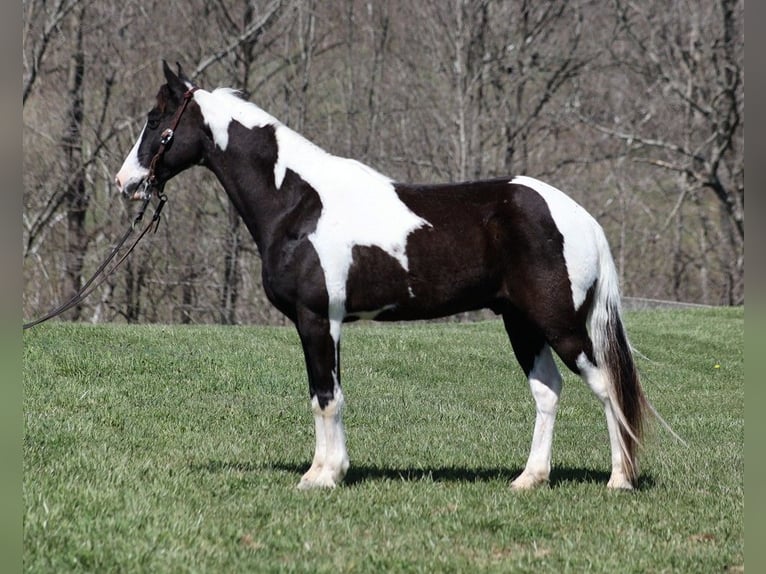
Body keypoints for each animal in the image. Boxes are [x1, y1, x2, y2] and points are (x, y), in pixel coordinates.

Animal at [115, 61, 650, 491]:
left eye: (155, 121)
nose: (125, 183)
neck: (298, 202)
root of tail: (579, 216)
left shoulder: (317, 319)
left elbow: (326, 398)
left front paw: (323, 477)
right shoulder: (322, 324)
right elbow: (322, 395)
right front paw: (326, 469)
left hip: (558, 323)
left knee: (607, 386)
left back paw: (619, 479)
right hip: (521, 321)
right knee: (547, 390)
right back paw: (530, 479)